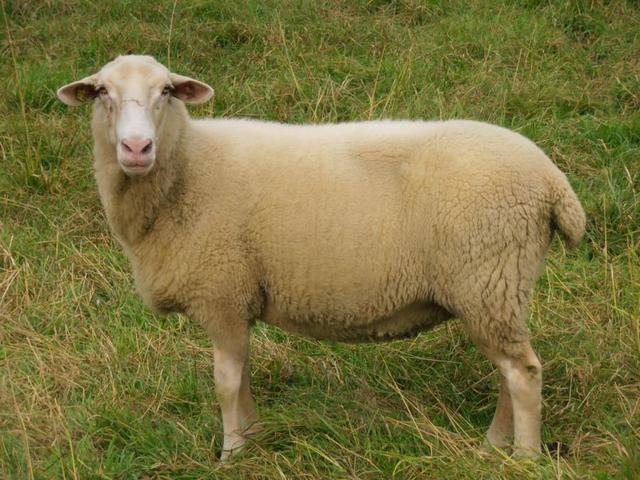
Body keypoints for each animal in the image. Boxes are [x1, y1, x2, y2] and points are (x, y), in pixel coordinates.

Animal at [57, 55, 586, 461]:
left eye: (167, 91)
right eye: (101, 92)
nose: (136, 147)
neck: (188, 169)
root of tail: (551, 180)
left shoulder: (222, 291)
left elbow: (225, 381)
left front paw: (230, 453)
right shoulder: (238, 298)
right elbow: (243, 376)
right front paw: (254, 438)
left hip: (489, 280)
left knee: (523, 374)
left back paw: (523, 457)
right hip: (498, 291)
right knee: (509, 372)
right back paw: (493, 447)